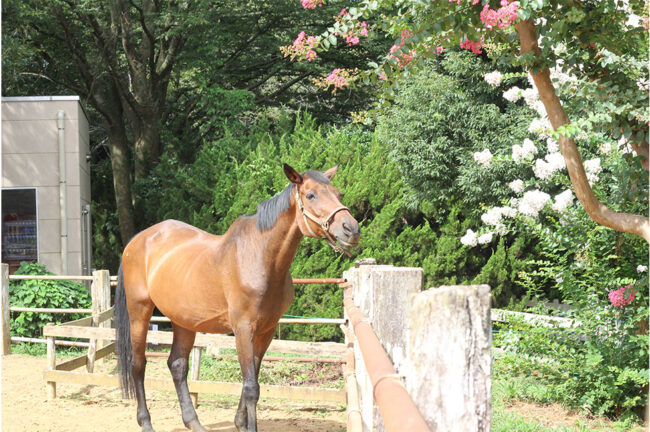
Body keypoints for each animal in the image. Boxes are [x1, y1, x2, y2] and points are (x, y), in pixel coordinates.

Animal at [116, 163, 360, 432]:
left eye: (337, 194)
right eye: (311, 195)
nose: (351, 229)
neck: (259, 257)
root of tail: (136, 241)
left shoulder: (266, 330)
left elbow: (251, 378)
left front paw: (240, 423)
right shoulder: (243, 328)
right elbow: (251, 386)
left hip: (183, 320)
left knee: (177, 365)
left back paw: (194, 423)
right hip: (140, 311)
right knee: (138, 365)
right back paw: (146, 422)